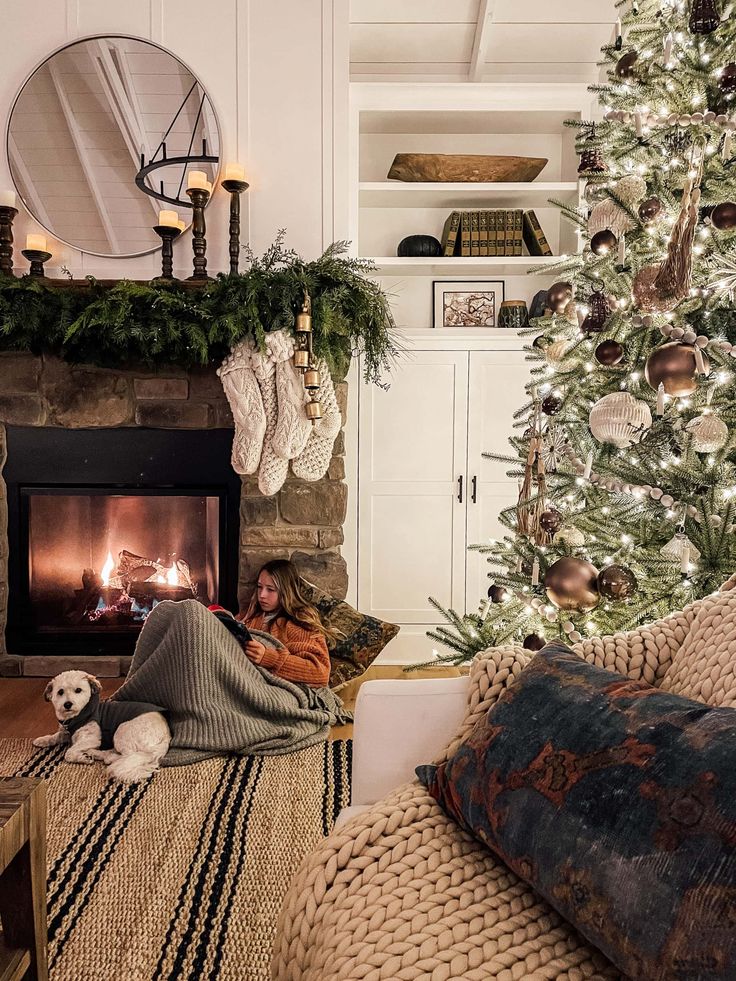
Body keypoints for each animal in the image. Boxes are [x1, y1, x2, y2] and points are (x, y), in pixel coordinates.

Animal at [33, 668, 171, 780]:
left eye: (78, 690)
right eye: (60, 692)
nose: (67, 704)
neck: (76, 717)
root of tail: (167, 735)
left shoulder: (91, 738)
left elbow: (69, 752)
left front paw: (81, 758)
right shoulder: (65, 732)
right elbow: (55, 736)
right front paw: (42, 740)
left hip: (122, 731)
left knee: (129, 755)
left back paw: (102, 755)